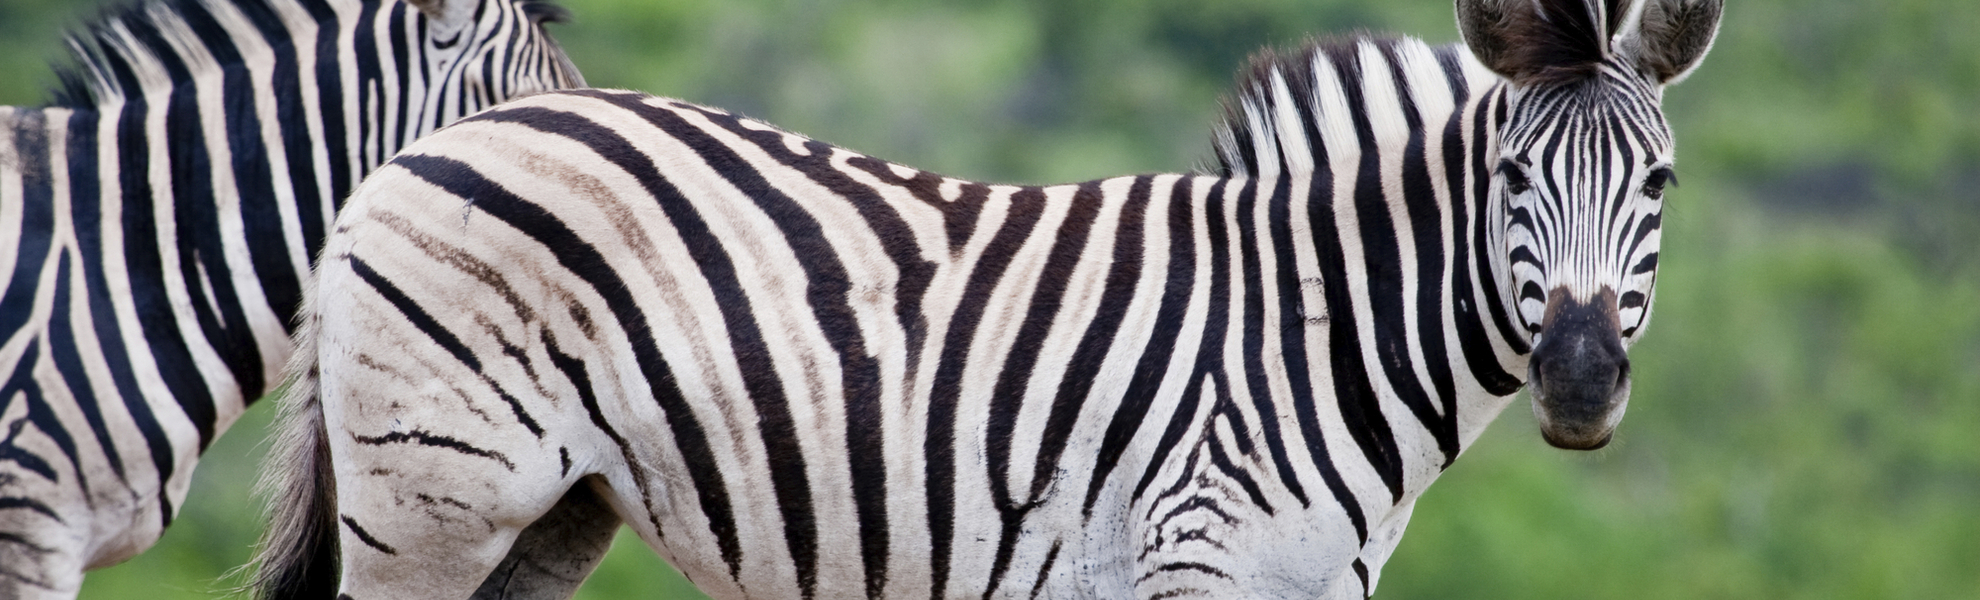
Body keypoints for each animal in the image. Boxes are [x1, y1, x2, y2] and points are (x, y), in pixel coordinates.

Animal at [253, 0, 1721, 598]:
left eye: (1662, 183)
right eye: (1515, 178)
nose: (1580, 382)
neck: (1312, 335)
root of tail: (414, 154)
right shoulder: (1196, 562)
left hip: (549, 511)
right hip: (431, 498)